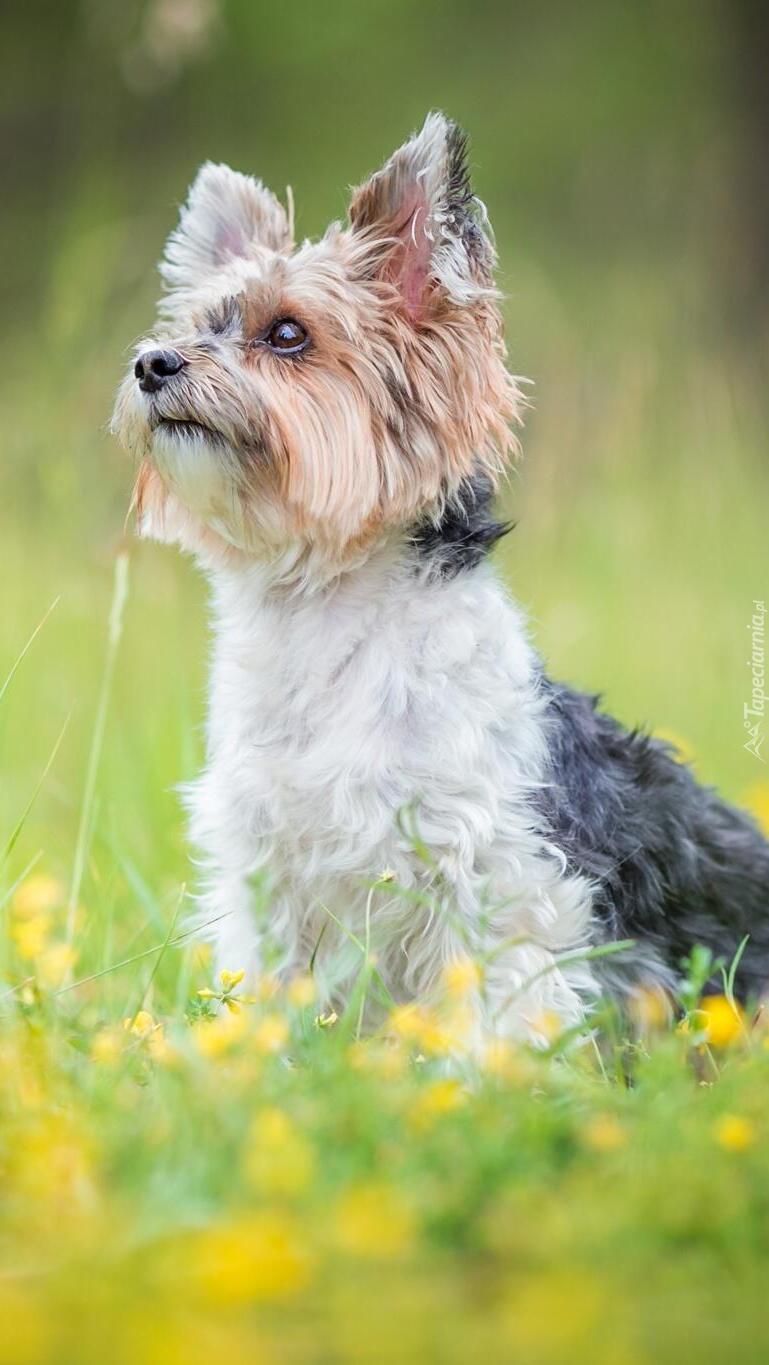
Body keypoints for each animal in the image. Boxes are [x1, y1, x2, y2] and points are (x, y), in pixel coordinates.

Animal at [114, 114, 769, 1042]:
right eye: (198, 323)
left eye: (287, 334)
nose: (152, 363)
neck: (322, 615)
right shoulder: (269, 877)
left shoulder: (500, 877)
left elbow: (494, 1018)